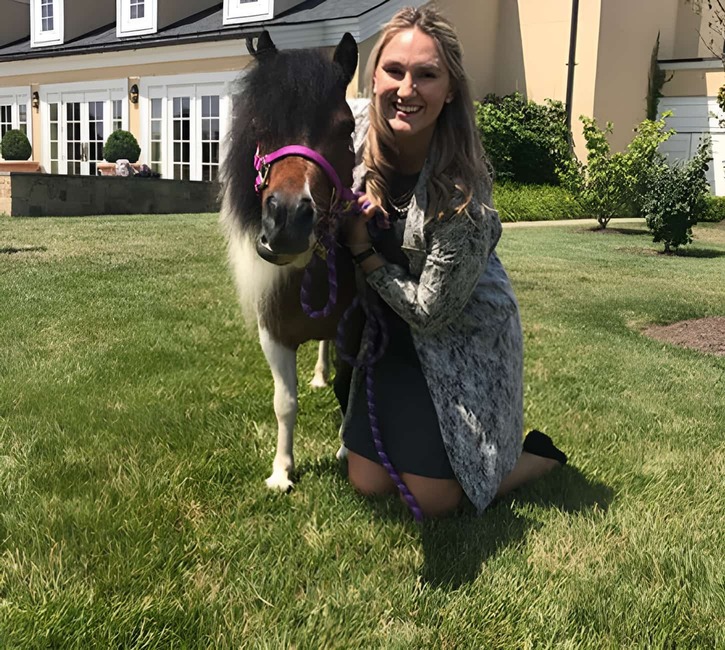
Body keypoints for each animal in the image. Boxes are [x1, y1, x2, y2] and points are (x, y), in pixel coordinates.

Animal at [220, 30, 360, 491]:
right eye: (259, 128)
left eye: (346, 128)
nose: (287, 220)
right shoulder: (275, 336)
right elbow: (284, 402)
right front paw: (281, 471)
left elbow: (350, 390)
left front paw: (347, 451)